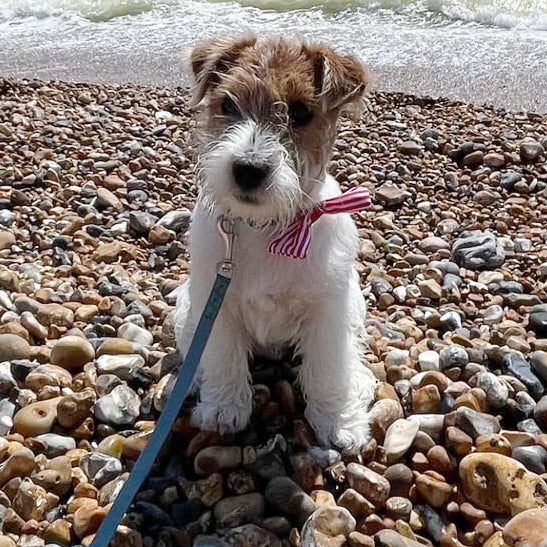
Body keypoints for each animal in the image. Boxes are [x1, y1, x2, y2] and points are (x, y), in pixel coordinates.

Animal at [176, 34, 376, 454]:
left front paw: (338, 420)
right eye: (227, 104)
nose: (248, 170)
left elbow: (328, 368)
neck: (267, 229)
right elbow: (223, 356)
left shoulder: (328, 311)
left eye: (300, 112)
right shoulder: (214, 303)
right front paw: (223, 408)